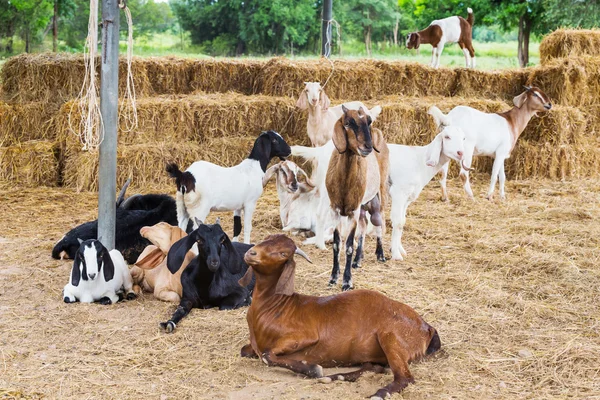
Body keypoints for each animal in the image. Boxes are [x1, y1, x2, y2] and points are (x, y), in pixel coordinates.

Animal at [238, 234, 440, 400]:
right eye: (265, 239)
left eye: (283, 253)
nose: (251, 253)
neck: (276, 306)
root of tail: (426, 326)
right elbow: (245, 351)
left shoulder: (305, 335)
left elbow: (267, 355)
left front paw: (313, 369)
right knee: (374, 367)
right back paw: (335, 377)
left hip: (391, 337)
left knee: (405, 377)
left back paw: (379, 393)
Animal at [390, 126, 468, 260]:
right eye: (447, 137)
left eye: (463, 138)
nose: (460, 153)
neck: (420, 161)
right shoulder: (398, 193)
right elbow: (398, 223)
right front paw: (396, 254)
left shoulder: (407, 198)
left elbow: (402, 221)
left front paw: (400, 250)